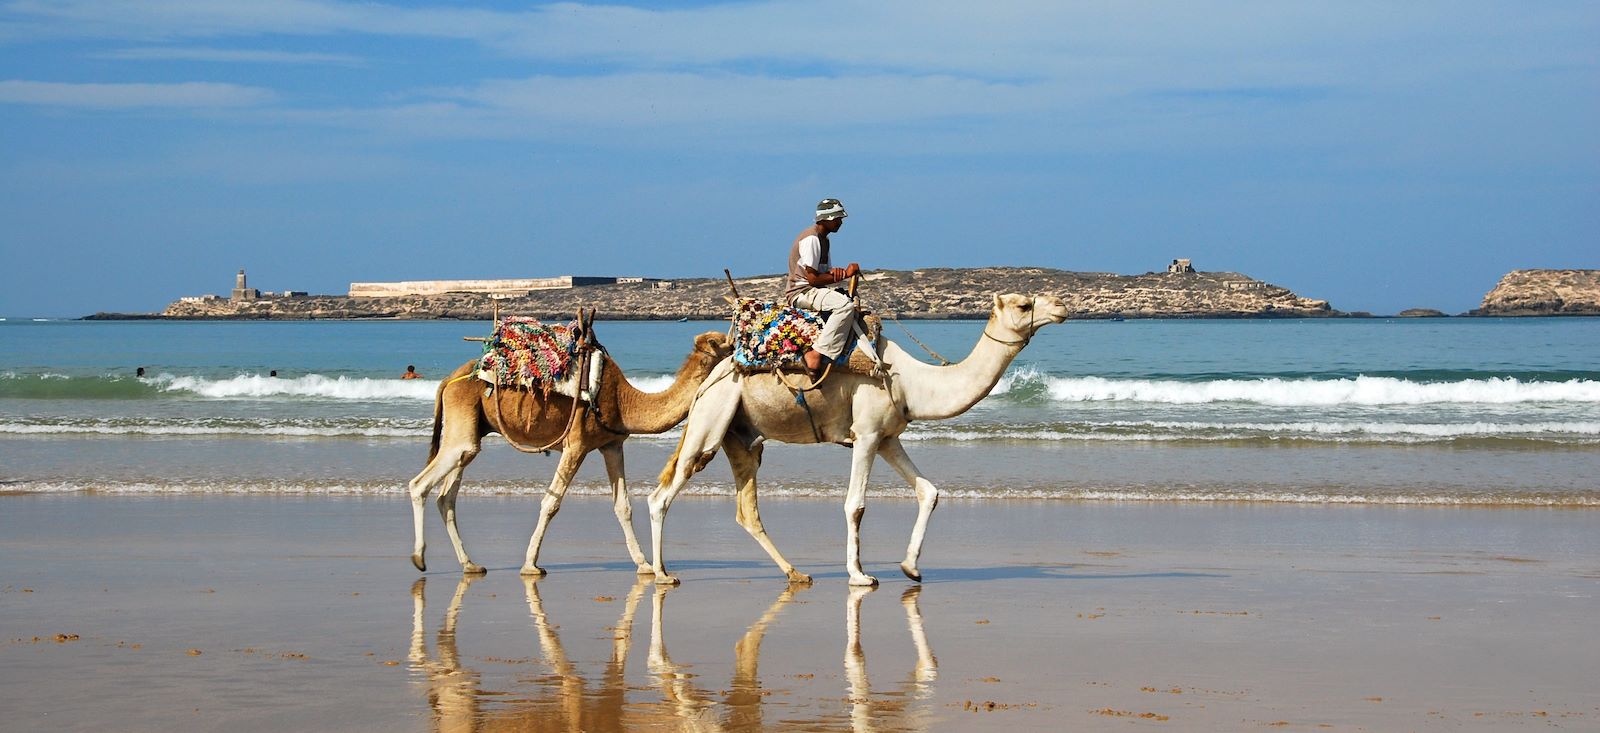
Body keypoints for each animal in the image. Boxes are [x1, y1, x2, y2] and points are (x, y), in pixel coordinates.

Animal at [412, 329, 736, 576]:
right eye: (726, 344)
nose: (741, 352)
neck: (623, 400)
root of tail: (448, 380)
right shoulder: (576, 444)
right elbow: (551, 503)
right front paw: (531, 565)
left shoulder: (611, 444)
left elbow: (623, 506)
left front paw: (644, 565)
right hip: (463, 415)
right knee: (421, 483)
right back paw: (419, 559)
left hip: (472, 427)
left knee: (448, 493)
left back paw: (470, 564)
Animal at [643, 291, 1068, 582]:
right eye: (1024, 305)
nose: (1062, 306)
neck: (910, 382)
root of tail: (709, 380)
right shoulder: (865, 434)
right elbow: (855, 505)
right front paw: (860, 575)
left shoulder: (887, 437)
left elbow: (928, 491)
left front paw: (910, 567)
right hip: (711, 420)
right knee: (663, 493)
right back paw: (661, 573)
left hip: (742, 436)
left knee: (747, 510)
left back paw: (796, 573)